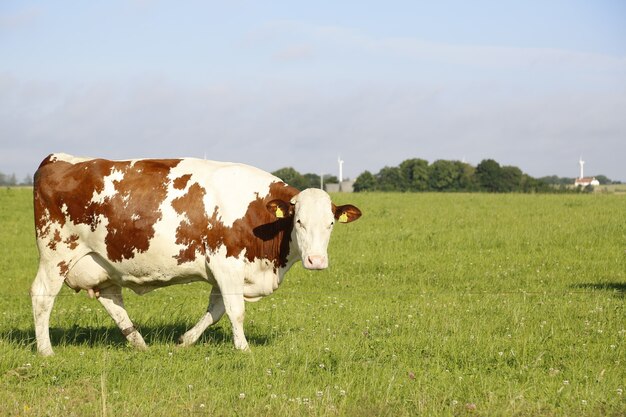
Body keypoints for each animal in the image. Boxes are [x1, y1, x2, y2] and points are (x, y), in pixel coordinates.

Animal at [30, 153, 360, 354]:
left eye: (330, 223)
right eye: (299, 221)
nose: (316, 261)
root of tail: (58, 159)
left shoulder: (222, 272)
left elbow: (216, 312)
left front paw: (184, 341)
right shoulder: (226, 263)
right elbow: (236, 311)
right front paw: (244, 349)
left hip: (103, 262)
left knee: (112, 300)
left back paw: (140, 344)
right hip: (56, 253)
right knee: (42, 296)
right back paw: (46, 350)